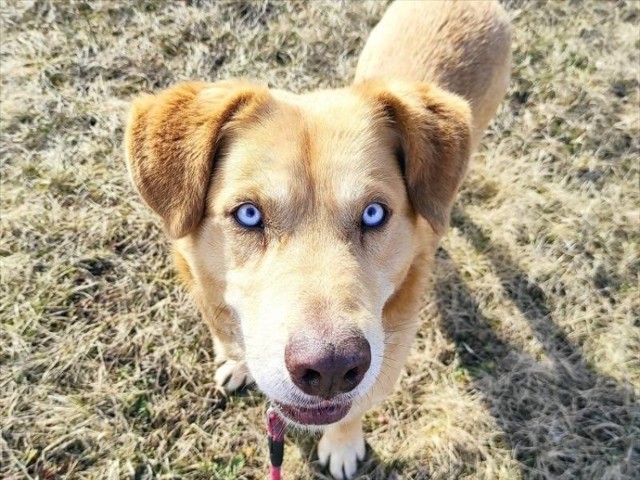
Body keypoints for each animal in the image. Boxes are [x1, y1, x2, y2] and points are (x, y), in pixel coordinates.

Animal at [124, 1, 510, 478]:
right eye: (249, 214)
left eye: (374, 213)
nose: (330, 369)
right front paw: (236, 361)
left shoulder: (384, 367)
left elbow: (354, 410)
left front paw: (342, 446)